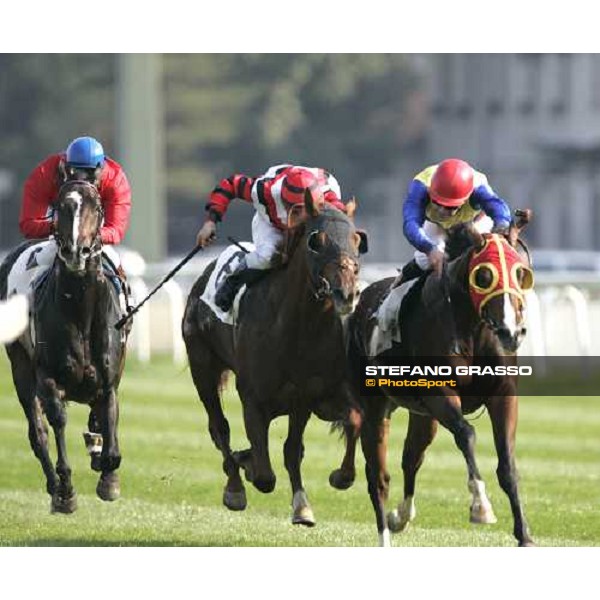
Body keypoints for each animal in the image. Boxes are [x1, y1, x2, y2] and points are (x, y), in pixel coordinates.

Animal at [0, 178, 131, 510]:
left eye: (96, 206)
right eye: (61, 205)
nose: (75, 251)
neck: (80, 311)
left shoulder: (109, 379)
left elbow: (111, 439)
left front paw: (107, 477)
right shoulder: (47, 378)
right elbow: (56, 421)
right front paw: (66, 489)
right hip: (20, 366)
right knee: (38, 433)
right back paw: (54, 485)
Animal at [332, 213, 536, 548]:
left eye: (521, 273)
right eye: (483, 276)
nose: (511, 332)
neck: (471, 330)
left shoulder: (503, 393)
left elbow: (508, 465)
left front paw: (525, 535)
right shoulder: (438, 392)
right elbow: (466, 434)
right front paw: (481, 506)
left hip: (423, 415)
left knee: (411, 457)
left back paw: (400, 516)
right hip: (377, 405)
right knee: (378, 475)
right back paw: (380, 527)